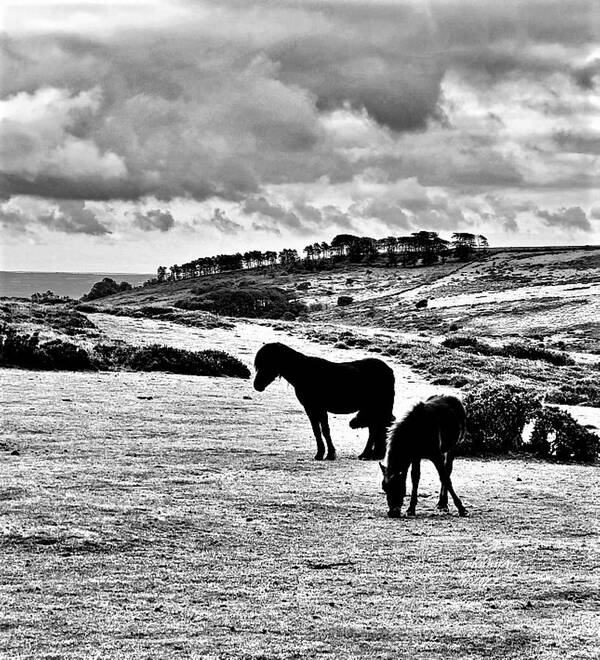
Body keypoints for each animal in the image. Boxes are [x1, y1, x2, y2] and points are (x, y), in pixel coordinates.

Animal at [252, 346, 394, 458]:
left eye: (268, 362)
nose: (257, 385)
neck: (303, 373)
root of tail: (388, 370)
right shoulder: (311, 409)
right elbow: (317, 430)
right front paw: (320, 454)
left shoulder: (319, 408)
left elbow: (325, 430)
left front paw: (330, 454)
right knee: (375, 429)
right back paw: (371, 454)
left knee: (375, 429)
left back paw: (367, 454)